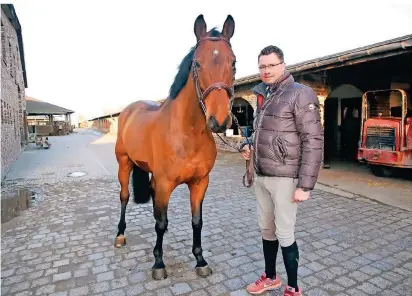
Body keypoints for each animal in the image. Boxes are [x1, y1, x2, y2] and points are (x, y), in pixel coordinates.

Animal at [114, 14, 237, 280]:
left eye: (233, 63)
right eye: (197, 64)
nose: (219, 120)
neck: (187, 134)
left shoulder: (200, 183)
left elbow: (196, 221)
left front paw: (200, 260)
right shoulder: (164, 183)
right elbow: (161, 223)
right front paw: (158, 263)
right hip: (124, 164)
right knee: (124, 197)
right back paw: (119, 235)